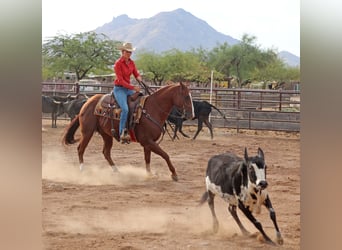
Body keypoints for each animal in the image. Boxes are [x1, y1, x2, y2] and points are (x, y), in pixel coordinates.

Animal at [62, 83, 194, 181]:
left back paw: (116, 170)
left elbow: (148, 158)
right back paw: (82, 170)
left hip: (106, 134)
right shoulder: (148, 141)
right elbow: (165, 155)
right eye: (186, 96)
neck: (153, 109)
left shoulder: (148, 143)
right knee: (81, 149)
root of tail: (87, 102)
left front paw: (149, 174)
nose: (191, 115)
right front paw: (174, 174)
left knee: (106, 152)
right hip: (87, 132)